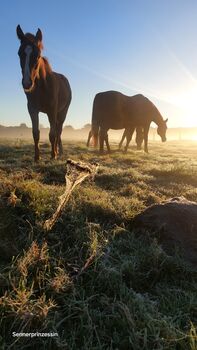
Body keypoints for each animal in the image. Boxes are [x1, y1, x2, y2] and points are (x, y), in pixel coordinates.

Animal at [16, 25, 71, 161]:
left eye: (37, 55)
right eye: (19, 53)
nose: (27, 83)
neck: (42, 87)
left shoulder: (52, 110)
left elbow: (52, 134)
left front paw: (53, 155)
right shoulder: (32, 109)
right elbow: (36, 133)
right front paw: (37, 157)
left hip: (62, 112)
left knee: (59, 130)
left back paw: (58, 151)